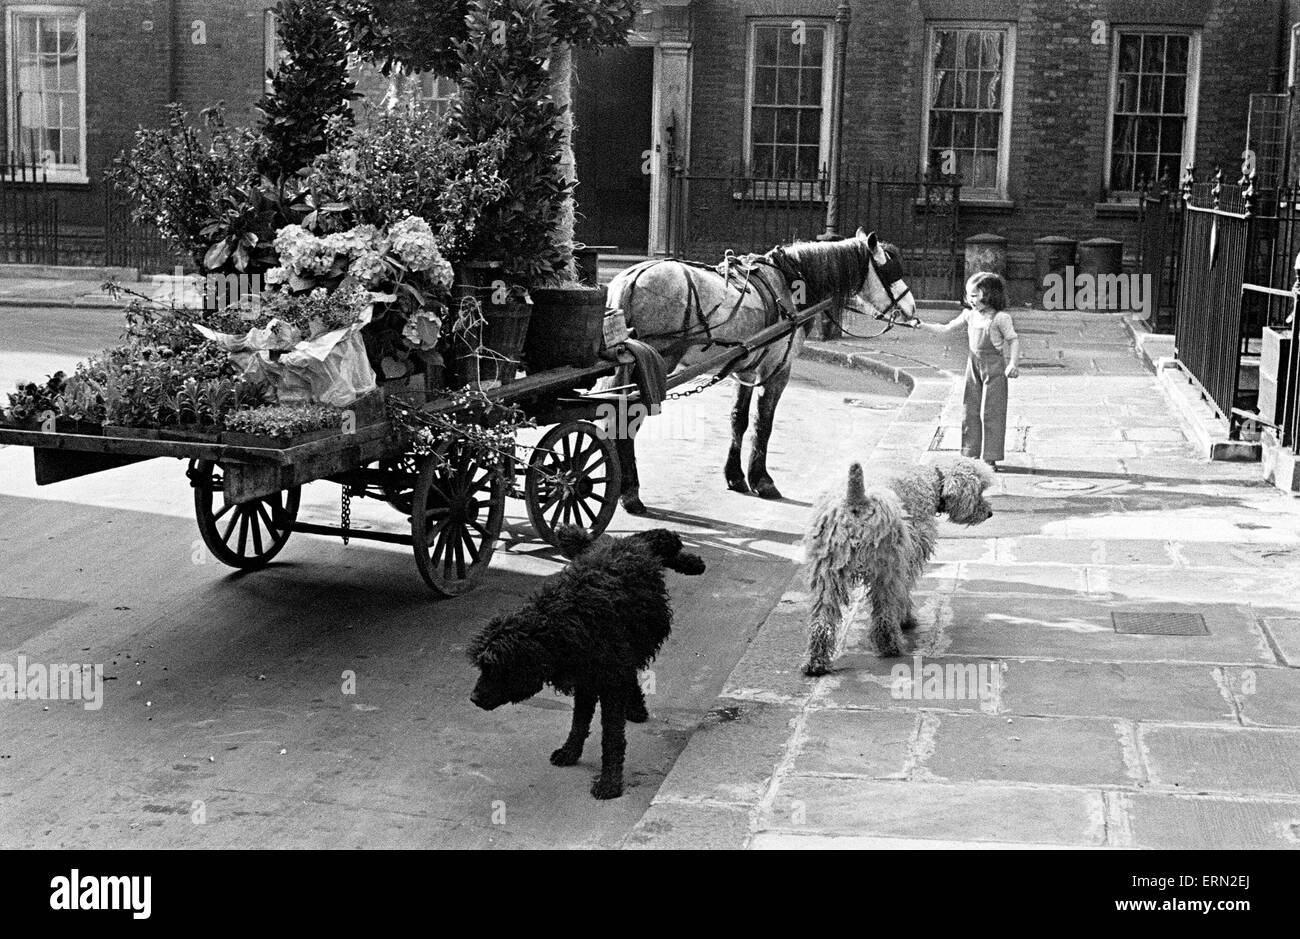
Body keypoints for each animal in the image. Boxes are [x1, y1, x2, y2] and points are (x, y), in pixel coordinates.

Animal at [605, 228, 920, 515]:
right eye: (890, 270)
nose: (912, 310)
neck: (788, 283)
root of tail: (629, 280)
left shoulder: (745, 370)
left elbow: (739, 420)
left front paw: (735, 477)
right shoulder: (778, 369)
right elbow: (763, 423)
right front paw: (763, 480)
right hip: (656, 365)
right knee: (627, 418)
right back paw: (631, 493)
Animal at [795, 455, 987, 671]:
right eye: (980, 490)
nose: (989, 512)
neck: (929, 480)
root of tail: (857, 499)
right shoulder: (909, 558)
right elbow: (904, 592)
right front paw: (905, 618)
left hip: (826, 573)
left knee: (822, 617)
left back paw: (815, 661)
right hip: (887, 568)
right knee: (885, 609)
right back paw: (890, 645)